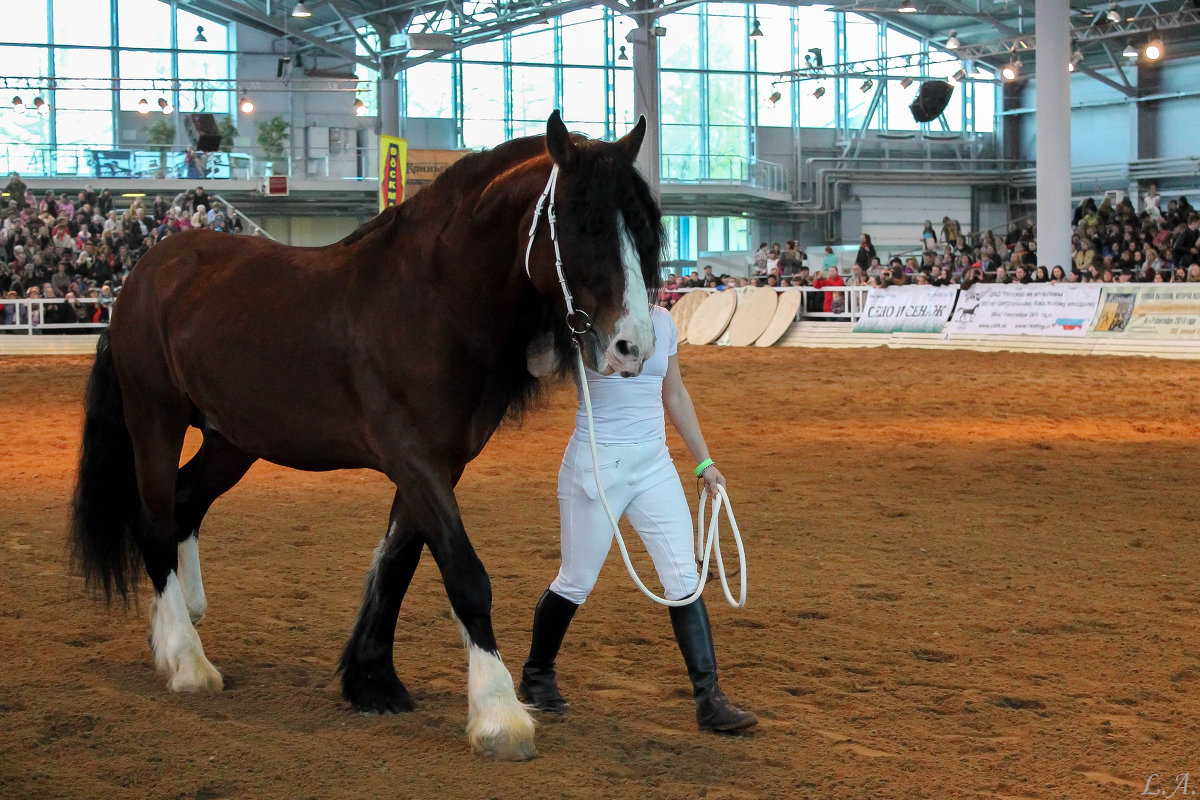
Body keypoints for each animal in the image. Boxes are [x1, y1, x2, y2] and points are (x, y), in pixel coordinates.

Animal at [69, 112, 662, 762]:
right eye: (585, 224)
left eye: (643, 229)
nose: (633, 347)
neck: (430, 303)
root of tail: (144, 275)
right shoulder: (414, 458)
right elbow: (464, 574)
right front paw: (498, 714)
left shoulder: (439, 465)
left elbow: (397, 564)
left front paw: (372, 680)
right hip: (155, 417)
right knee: (154, 518)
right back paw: (186, 660)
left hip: (233, 439)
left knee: (184, 504)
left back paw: (174, 630)